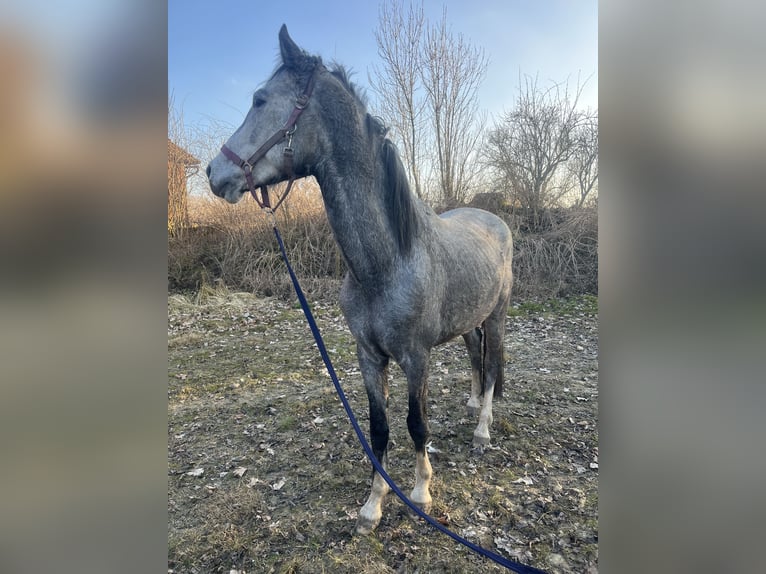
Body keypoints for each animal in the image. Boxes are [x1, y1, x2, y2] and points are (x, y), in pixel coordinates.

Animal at [207, 22, 512, 536]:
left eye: (260, 99)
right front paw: (373, 505)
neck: (383, 264)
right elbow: (378, 427)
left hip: (496, 316)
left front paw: (420, 492)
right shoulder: (368, 355)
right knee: (474, 357)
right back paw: (472, 406)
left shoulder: (415, 358)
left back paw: (483, 430)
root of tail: (494, 219)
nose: (214, 172)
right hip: (469, 319)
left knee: (491, 367)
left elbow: (416, 424)